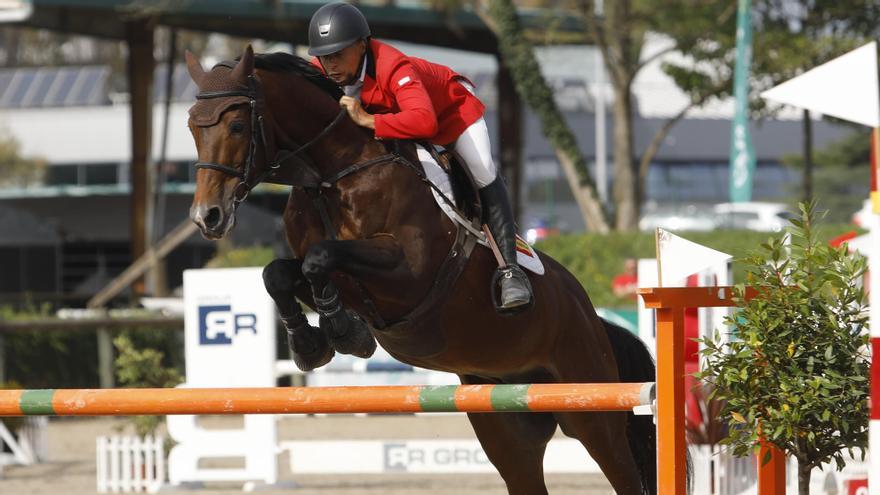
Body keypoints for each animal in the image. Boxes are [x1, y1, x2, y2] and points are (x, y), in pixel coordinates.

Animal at [186, 44, 656, 494]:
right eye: (192, 126)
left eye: (236, 126)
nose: (208, 217)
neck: (331, 175)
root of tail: (590, 313)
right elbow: (280, 273)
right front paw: (312, 342)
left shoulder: (408, 272)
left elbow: (322, 257)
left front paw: (343, 331)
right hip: (505, 419)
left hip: (591, 409)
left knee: (621, 468)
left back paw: (513, 287)